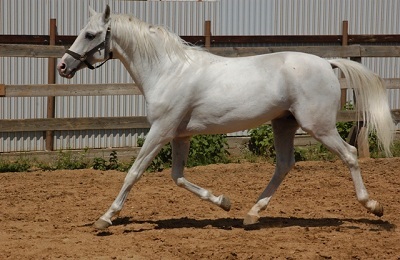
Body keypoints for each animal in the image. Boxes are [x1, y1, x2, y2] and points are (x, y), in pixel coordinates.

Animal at [57, 6, 396, 230]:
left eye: (90, 34)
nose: (63, 66)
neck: (168, 71)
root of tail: (328, 63)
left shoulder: (161, 131)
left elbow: (134, 173)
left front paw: (105, 218)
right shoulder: (181, 135)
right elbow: (178, 177)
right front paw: (224, 202)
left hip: (319, 126)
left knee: (349, 154)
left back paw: (373, 206)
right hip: (283, 123)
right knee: (284, 165)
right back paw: (252, 213)